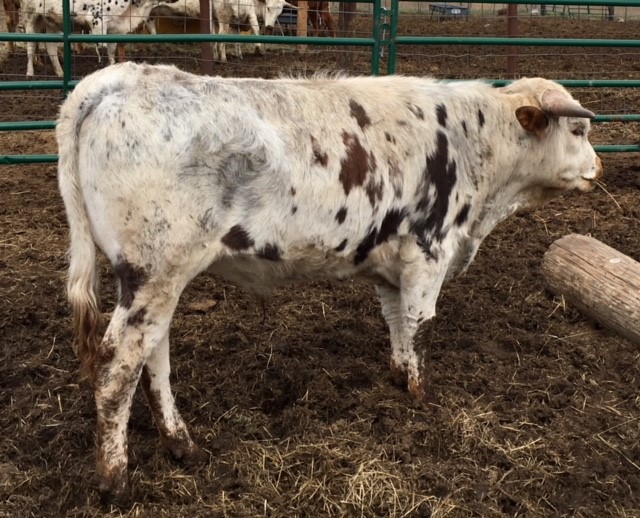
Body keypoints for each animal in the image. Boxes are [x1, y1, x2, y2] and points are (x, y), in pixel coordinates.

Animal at [18, 0, 174, 76]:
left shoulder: (113, 29)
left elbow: (111, 52)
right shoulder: (98, 21)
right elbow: (103, 49)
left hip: (51, 22)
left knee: (50, 47)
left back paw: (60, 72)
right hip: (30, 17)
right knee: (31, 46)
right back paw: (30, 73)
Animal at [56, 62, 602, 503]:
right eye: (578, 128)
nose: (599, 166)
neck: (475, 144)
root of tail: (122, 77)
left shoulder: (391, 261)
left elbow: (396, 322)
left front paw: (399, 375)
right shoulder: (429, 250)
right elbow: (420, 324)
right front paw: (422, 397)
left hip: (159, 282)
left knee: (154, 359)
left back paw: (180, 442)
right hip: (152, 274)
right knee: (116, 370)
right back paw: (115, 479)